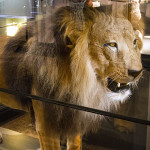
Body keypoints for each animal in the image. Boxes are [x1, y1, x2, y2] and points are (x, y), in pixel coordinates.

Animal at [0, 2, 143, 150]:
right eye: (112, 44)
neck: (75, 81)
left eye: (134, 42)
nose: (137, 72)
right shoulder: (46, 127)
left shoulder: (75, 119)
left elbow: (75, 144)